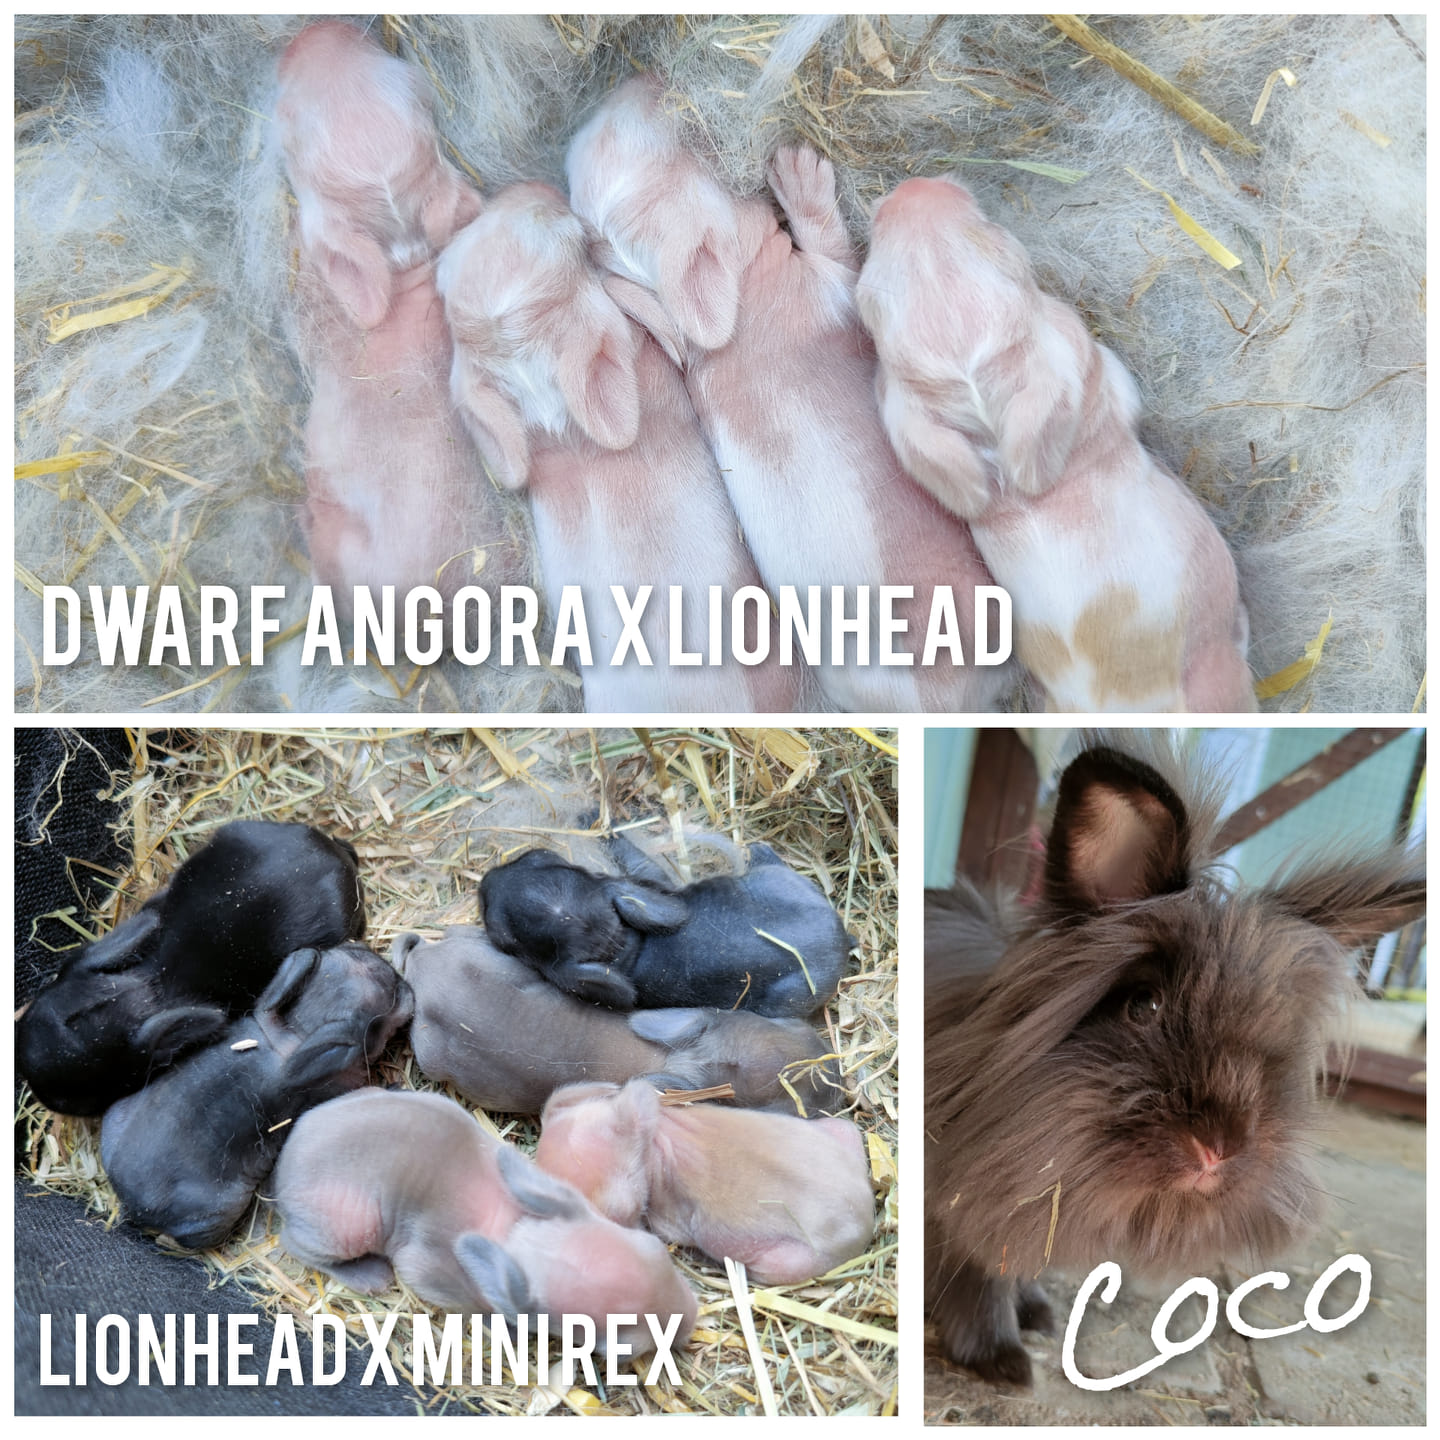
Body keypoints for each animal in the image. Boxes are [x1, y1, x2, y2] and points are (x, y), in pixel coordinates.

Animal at [924, 738, 1426, 1385]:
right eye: (1143, 1005)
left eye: (1281, 1033)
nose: (1219, 1147)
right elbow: (978, 1281)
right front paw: (1004, 1362)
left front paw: (1036, 1314)